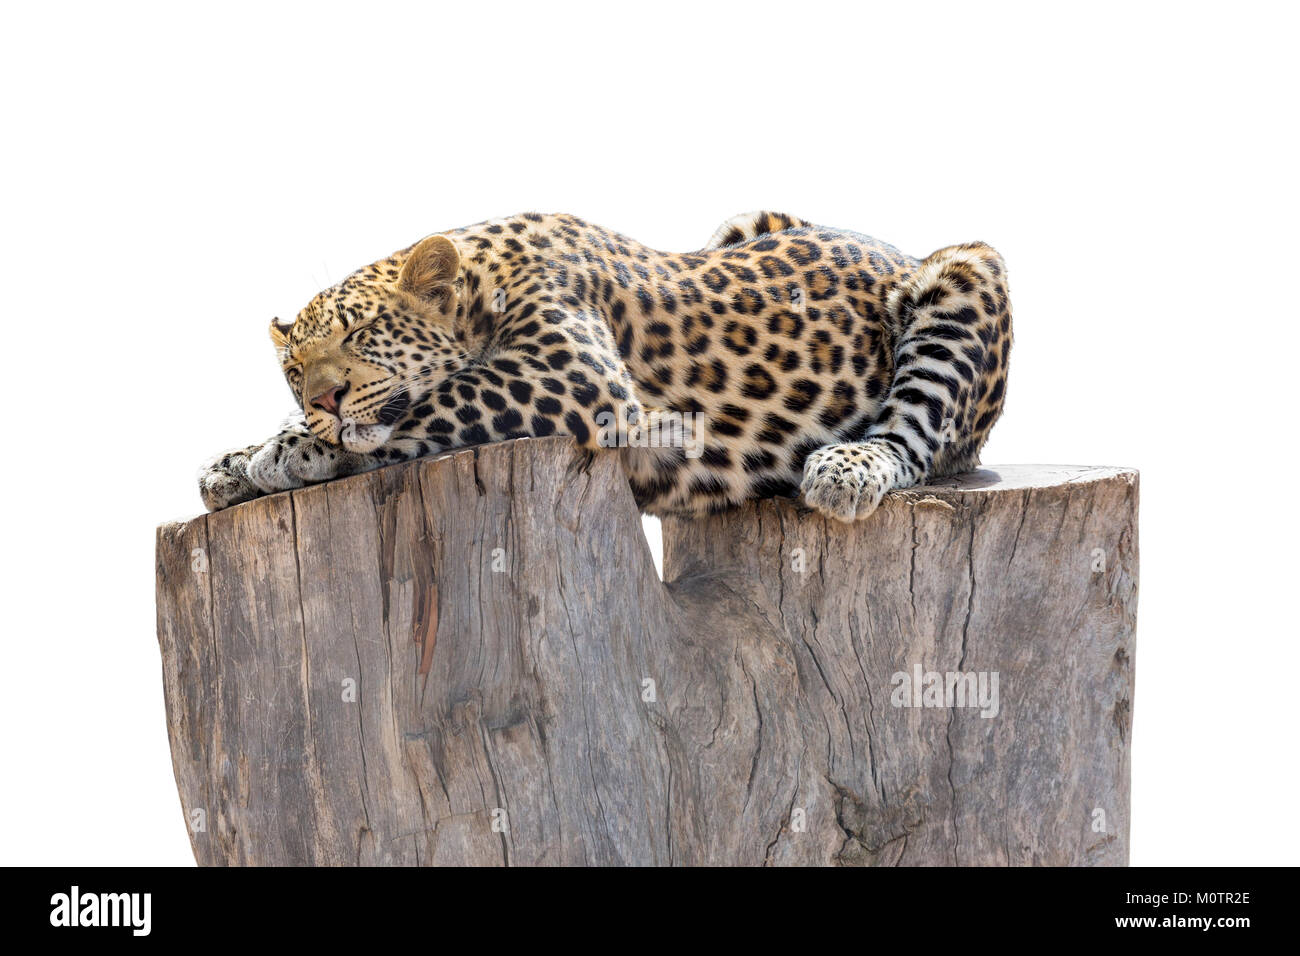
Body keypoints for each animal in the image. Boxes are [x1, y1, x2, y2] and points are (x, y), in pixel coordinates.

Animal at [200, 210, 1013, 522]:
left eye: (366, 333)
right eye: (294, 371)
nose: (323, 401)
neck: (483, 281)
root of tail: (895, 251)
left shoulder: (569, 375)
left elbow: (441, 400)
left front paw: (287, 451)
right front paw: (236, 460)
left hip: (970, 267)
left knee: (915, 439)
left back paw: (846, 470)